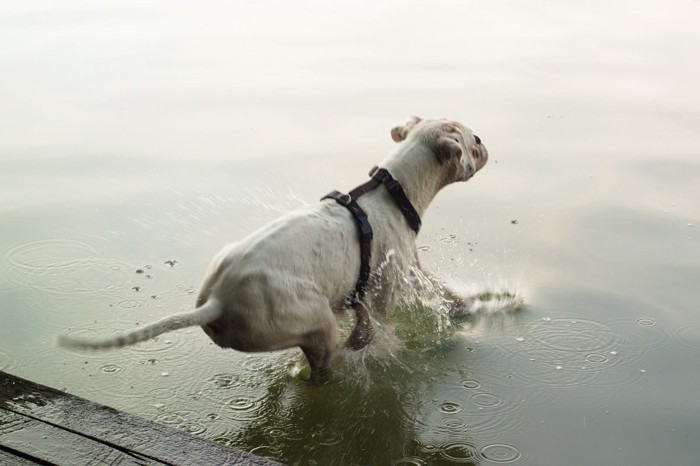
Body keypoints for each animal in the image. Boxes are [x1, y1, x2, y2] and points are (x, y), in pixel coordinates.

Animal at [58, 116, 486, 382]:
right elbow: (371, 333)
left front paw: (476, 308)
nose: (486, 144)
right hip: (314, 322)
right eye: (474, 138)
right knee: (322, 369)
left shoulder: (405, 274)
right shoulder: (384, 294)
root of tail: (216, 301)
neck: (393, 191)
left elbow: (447, 295)